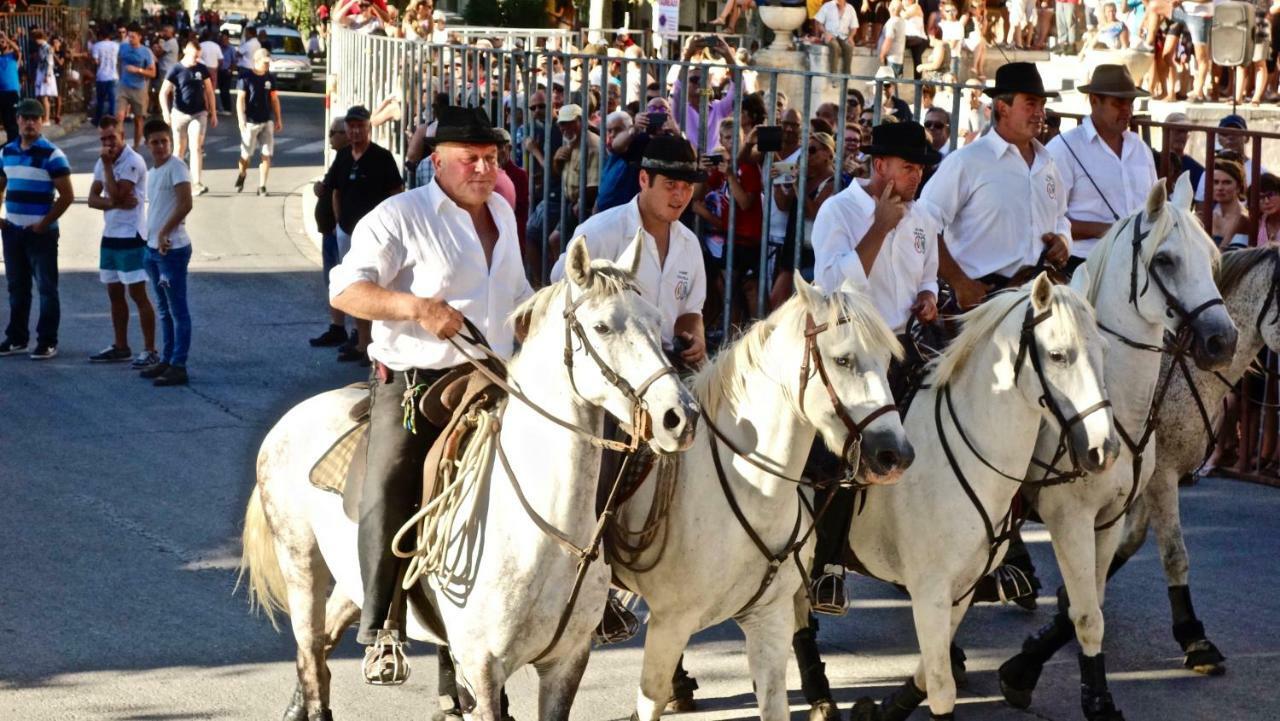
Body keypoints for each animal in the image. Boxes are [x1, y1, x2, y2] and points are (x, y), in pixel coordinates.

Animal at [240, 238, 701, 721]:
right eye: (602, 326)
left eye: (656, 319)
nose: (679, 416)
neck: (543, 533)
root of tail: (291, 418)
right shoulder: (482, 667)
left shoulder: (567, 661)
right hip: (301, 564)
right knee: (311, 651)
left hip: (351, 579)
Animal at [614, 279, 916, 717]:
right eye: (843, 360)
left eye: (888, 360)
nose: (896, 455)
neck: (750, 491)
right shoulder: (671, 623)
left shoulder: (768, 620)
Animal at [844, 272, 1116, 721]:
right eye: (1058, 355)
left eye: (1103, 352)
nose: (1103, 449)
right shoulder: (931, 588)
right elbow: (941, 686)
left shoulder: (961, 587)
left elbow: (929, 670)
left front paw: (883, 709)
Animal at [993, 176, 1233, 721]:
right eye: (1164, 260)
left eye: (1212, 259)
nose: (1222, 341)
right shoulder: (1070, 518)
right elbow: (1084, 609)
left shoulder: (1112, 514)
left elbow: (1089, 603)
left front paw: (1024, 670)